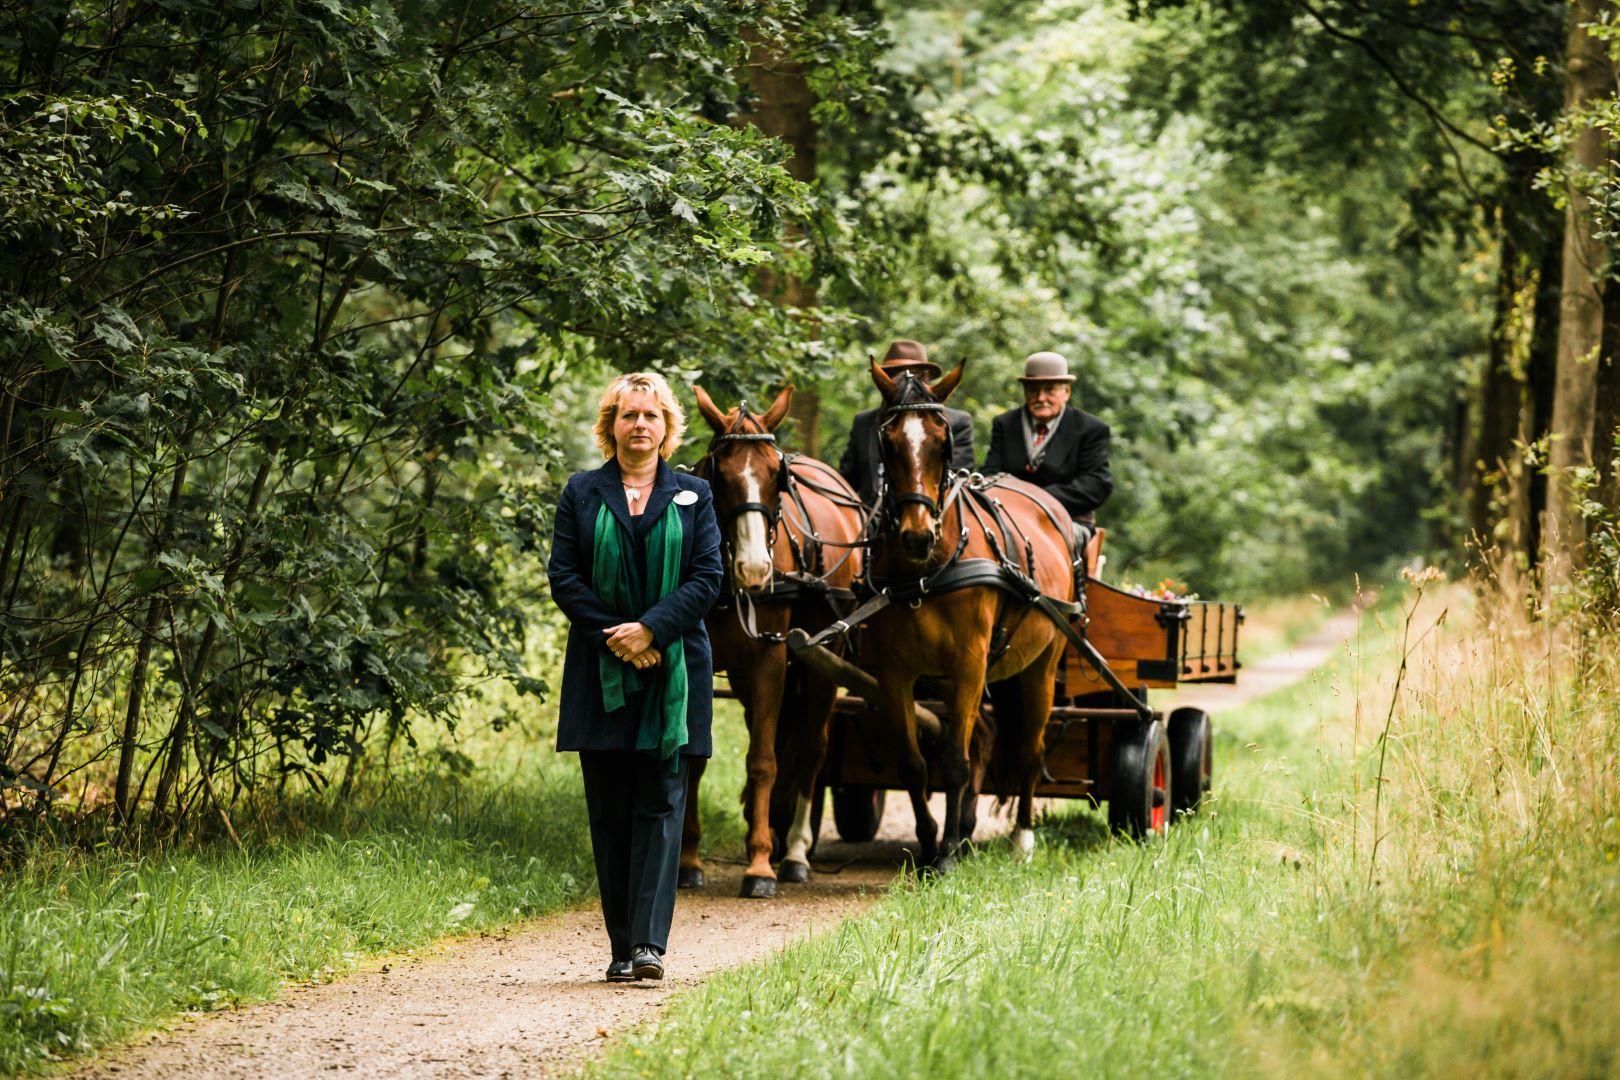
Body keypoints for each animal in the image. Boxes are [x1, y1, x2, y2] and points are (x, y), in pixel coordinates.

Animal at [683, 383, 868, 900]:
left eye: (775, 475)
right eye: (720, 475)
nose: (754, 569)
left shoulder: (769, 657)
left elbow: (764, 761)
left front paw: (761, 865)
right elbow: (693, 761)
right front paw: (689, 860)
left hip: (823, 658)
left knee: (809, 749)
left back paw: (795, 853)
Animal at [861, 361, 1075, 867]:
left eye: (943, 441)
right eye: (887, 440)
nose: (917, 536)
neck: (926, 572)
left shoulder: (968, 662)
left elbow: (955, 763)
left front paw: (945, 855)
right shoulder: (894, 672)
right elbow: (914, 763)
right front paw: (929, 842)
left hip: (1040, 666)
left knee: (1029, 749)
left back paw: (1021, 837)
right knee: (985, 736)